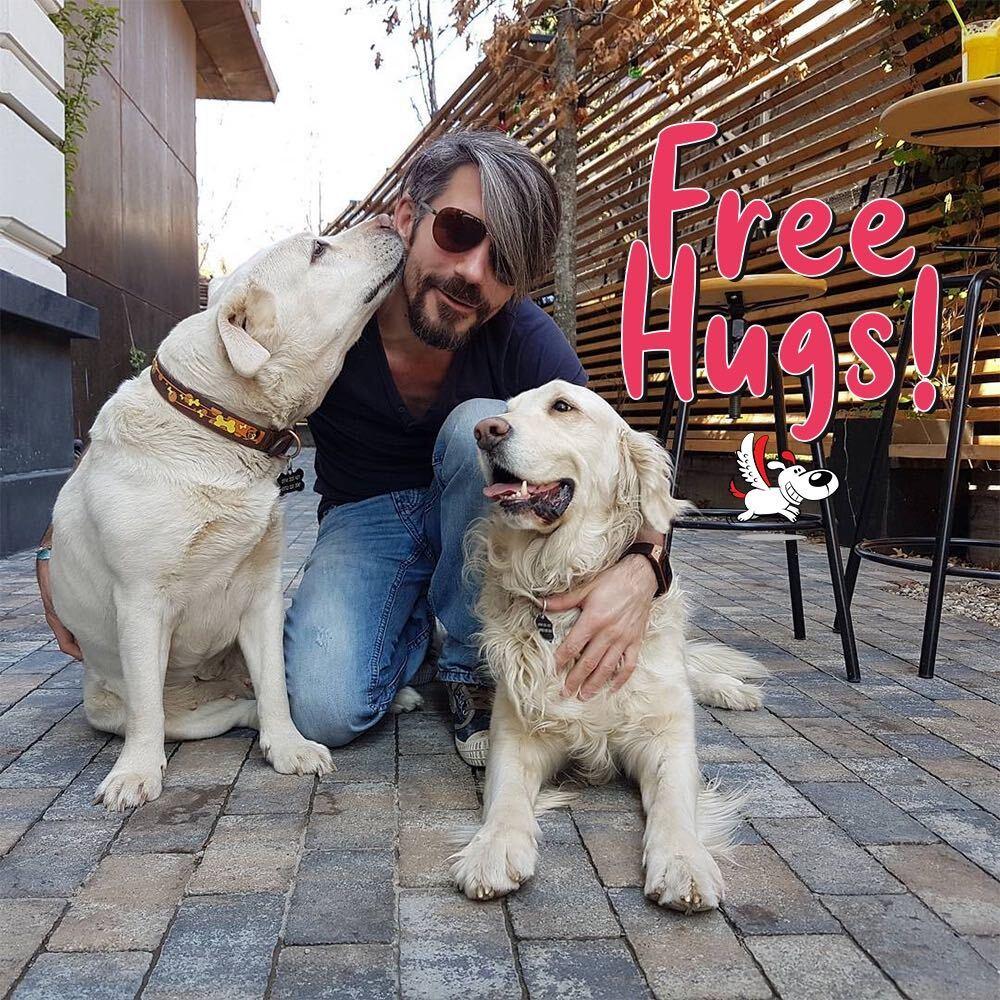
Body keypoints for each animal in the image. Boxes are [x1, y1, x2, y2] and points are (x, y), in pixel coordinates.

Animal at [49, 220, 404, 810]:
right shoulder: (141, 601)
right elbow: (147, 706)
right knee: (203, 712)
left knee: (258, 696)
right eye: (318, 249)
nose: (393, 220)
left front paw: (289, 746)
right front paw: (135, 772)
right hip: (150, 710)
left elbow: (277, 685)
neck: (216, 426)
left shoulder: (262, 595)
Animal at [450, 380, 765, 911]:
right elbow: (507, 795)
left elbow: (674, 805)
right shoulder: (515, 734)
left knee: (694, 672)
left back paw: (732, 689)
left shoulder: (667, 736)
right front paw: (493, 848)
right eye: (506, 409)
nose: (485, 430)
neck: (560, 575)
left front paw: (683, 861)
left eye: (562, 407)